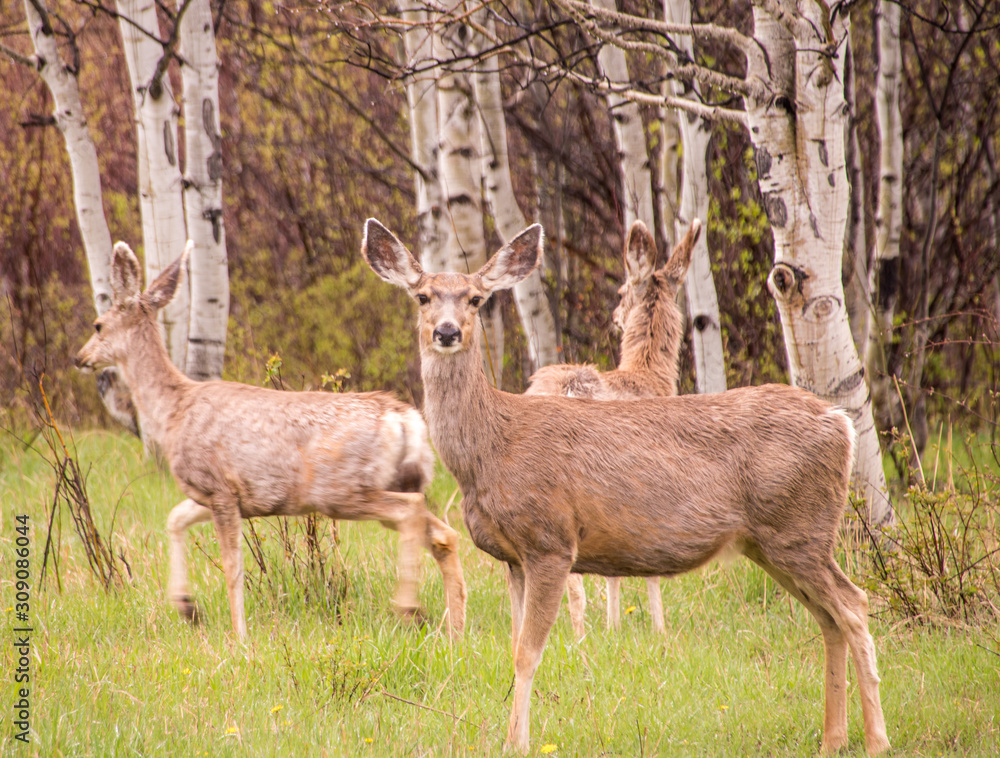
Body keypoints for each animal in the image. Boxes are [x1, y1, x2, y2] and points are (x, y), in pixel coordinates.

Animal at [75, 241, 466, 641]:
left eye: (98, 325)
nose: (80, 357)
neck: (174, 411)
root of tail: (404, 419)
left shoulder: (219, 489)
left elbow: (232, 568)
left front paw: (239, 638)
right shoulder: (222, 496)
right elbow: (174, 519)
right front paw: (187, 607)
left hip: (343, 491)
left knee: (412, 512)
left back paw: (408, 608)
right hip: (395, 481)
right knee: (444, 534)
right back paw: (452, 631)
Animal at [526, 218, 701, 637]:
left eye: (621, 291)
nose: (616, 315)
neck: (646, 378)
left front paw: (614, 625)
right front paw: (657, 628)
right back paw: (578, 632)